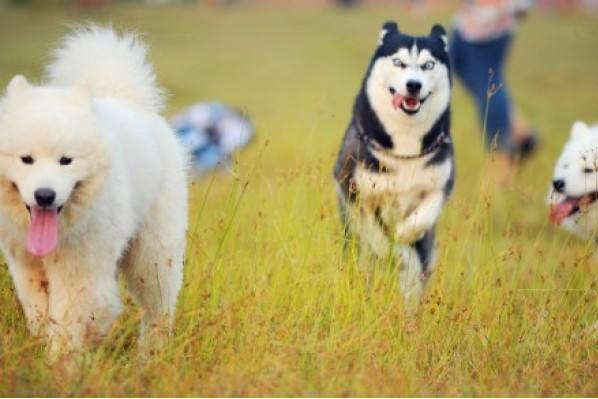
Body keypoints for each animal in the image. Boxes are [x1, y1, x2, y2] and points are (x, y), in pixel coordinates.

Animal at [0, 26, 188, 354]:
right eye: (26, 159)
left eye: (66, 160)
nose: (44, 195)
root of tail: (124, 98)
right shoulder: (26, 266)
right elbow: (38, 312)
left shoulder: (79, 273)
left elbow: (67, 321)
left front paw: (59, 362)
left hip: (152, 255)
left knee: (158, 307)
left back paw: (151, 353)